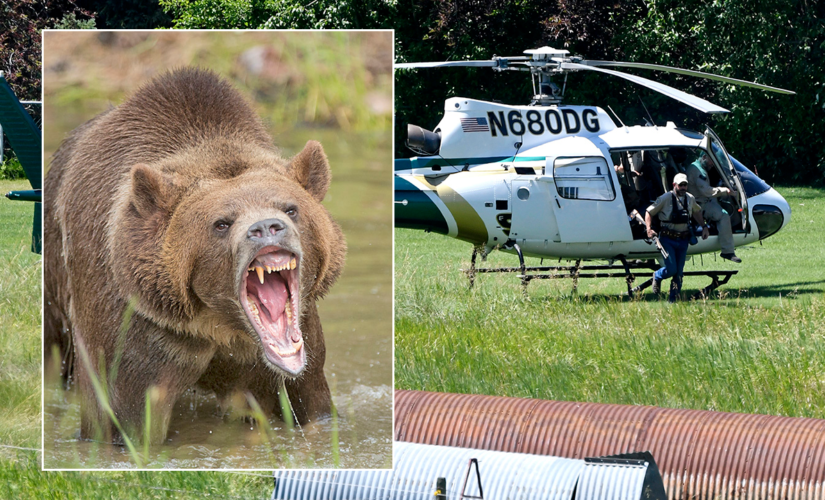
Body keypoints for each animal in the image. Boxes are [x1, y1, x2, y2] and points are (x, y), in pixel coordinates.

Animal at [43, 67, 346, 446]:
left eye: (291, 208)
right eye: (221, 223)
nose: (266, 227)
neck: (219, 323)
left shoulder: (295, 344)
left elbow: (309, 400)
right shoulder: (140, 328)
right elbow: (122, 416)